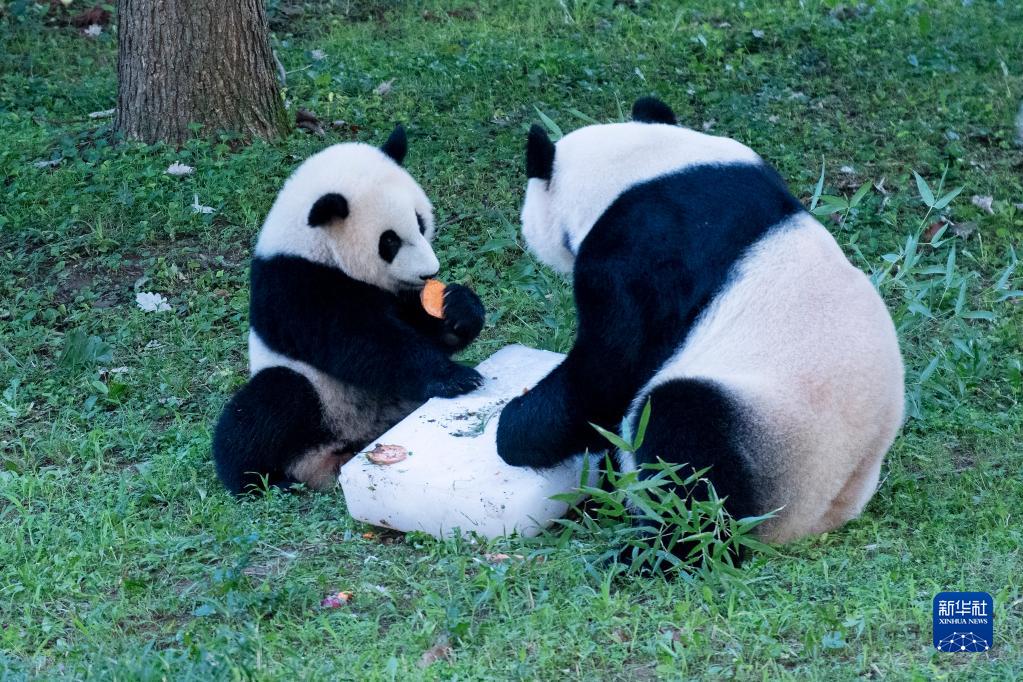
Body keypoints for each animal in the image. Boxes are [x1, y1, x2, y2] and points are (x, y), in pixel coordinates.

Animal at [213, 125, 484, 492]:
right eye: (389, 241)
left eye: (420, 221)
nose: (429, 273)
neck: (314, 246)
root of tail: (336, 455)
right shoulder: (295, 284)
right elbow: (363, 343)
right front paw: (454, 378)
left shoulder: (394, 290)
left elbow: (420, 326)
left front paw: (459, 308)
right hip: (318, 398)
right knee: (265, 407)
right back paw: (259, 481)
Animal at [495, 97, 904, 543]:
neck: (644, 167)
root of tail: (823, 517)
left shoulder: (639, 254)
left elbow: (609, 371)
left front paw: (511, 430)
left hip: (775, 429)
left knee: (686, 447)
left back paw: (660, 545)